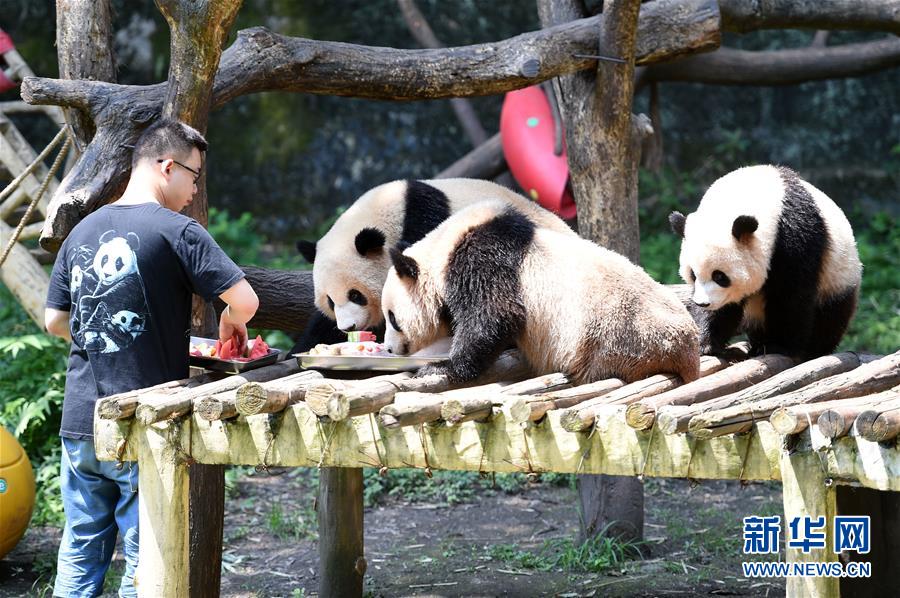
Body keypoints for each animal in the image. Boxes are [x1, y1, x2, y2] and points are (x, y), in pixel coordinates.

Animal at [380, 202, 704, 386]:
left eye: (392, 318)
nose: (389, 350)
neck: (444, 248)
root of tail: (687, 350)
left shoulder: (481, 260)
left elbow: (494, 315)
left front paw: (440, 368)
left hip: (617, 340)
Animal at [672, 164, 860, 360]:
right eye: (693, 275)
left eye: (720, 276)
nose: (703, 303)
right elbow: (725, 307)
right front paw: (707, 343)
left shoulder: (796, 237)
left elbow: (791, 294)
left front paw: (779, 346)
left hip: (837, 276)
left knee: (831, 315)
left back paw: (812, 349)